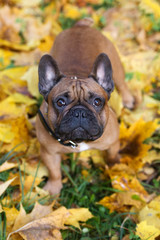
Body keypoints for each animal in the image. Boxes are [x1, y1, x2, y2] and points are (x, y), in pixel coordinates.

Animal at [35, 18, 134, 195]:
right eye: (60, 102)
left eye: (97, 102)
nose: (80, 112)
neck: (79, 141)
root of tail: (80, 26)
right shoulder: (48, 152)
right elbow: (54, 171)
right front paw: (53, 189)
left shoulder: (113, 142)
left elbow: (112, 155)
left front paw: (115, 166)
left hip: (117, 68)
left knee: (122, 84)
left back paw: (128, 100)